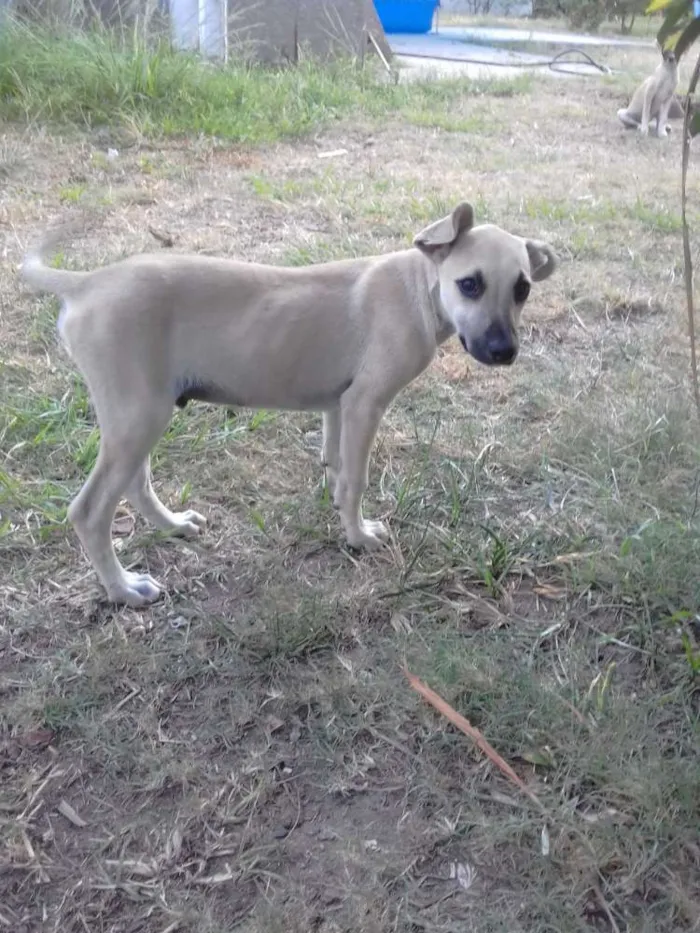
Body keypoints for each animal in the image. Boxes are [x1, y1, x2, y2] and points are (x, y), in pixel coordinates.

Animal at [20, 204, 556, 608]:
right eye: (470, 284)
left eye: (523, 288)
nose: (504, 352)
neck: (418, 288)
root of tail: (87, 283)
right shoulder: (365, 403)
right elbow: (357, 478)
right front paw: (359, 537)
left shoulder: (339, 405)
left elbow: (337, 468)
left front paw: (341, 512)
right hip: (140, 416)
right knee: (90, 511)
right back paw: (124, 589)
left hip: (138, 416)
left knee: (135, 483)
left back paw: (172, 526)